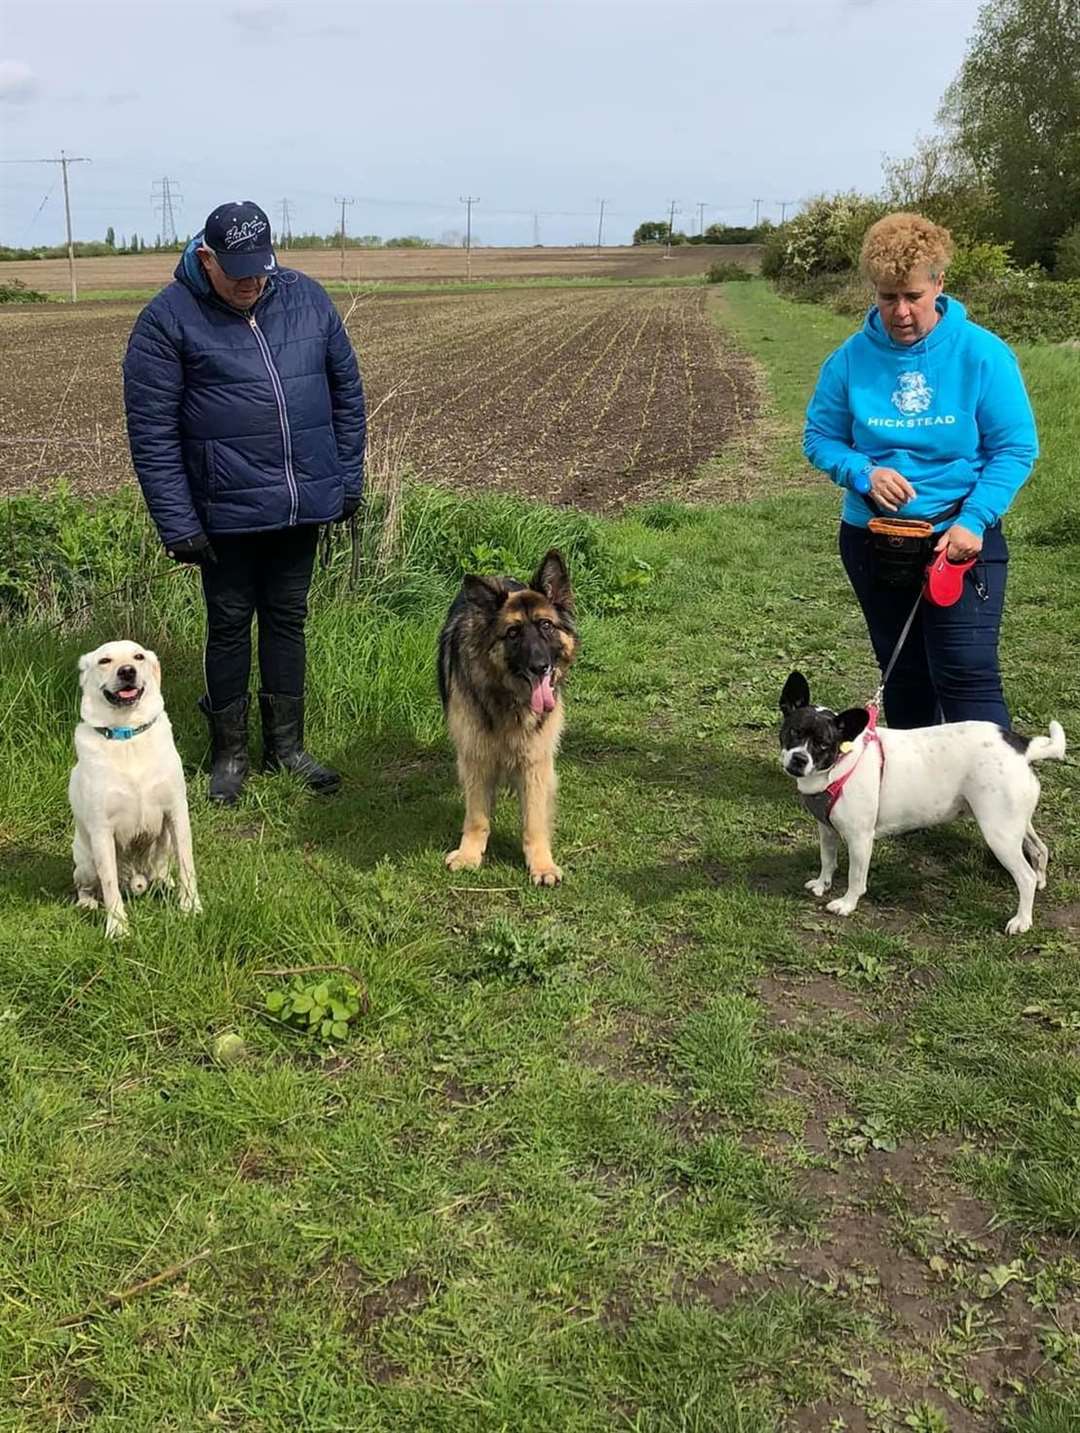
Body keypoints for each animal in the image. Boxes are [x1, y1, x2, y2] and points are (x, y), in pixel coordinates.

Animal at [69, 641, 200, 940]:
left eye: (138, 656)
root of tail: (136, 881)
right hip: (85, 860)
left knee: (161, 872)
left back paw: (165, 884)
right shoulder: (102, 829)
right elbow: (109, 886)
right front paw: (117, 927)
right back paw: (88, 904)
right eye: (105, 661)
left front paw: (191, 907)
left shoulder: (177, 811)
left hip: (162, 848)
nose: (127, 671)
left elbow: (187, 865)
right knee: (88, 886)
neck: (126, 735)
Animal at [438, 547, 575, 882]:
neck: (509, 699)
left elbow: (534, 818)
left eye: (546, 626)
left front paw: (541, 864)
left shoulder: (536, 759)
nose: (539, 667)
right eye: (513, 633)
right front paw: (469, 854)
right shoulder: (476, 755)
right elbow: (477, 815)